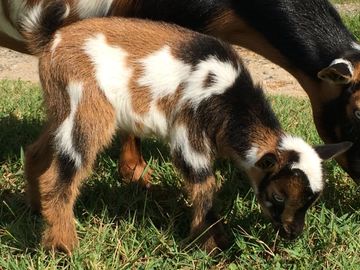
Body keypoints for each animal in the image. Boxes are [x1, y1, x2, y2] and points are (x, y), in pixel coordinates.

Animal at [20, 2, 352, 253]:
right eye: (280, 196)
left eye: (313, 199)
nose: (293, 233)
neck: (229, 98)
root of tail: (52, 39)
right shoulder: (189, 131)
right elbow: (204, 183)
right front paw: (213, 244)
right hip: (86, 103)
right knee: (63, 173)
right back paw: (63, 246)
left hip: (62, 105)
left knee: (37, 151)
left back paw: (37, 210)